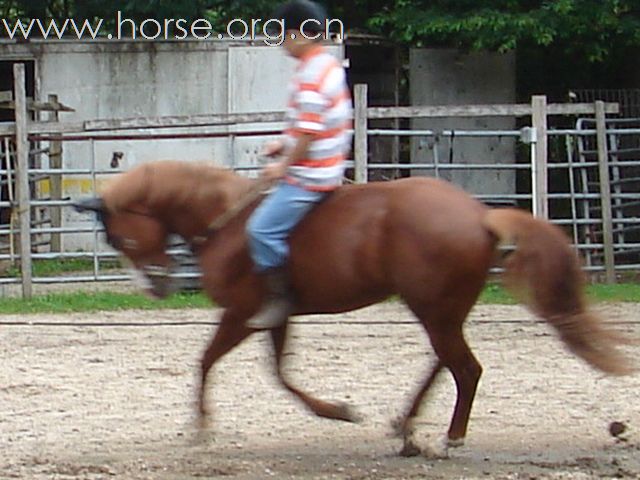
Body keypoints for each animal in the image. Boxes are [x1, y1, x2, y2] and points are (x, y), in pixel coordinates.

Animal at [74, 160, 632, 454]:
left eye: (119, 235)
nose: (155, 288)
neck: (228, 223)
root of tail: (479, 215)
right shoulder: (276, 316)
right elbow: (280, 373)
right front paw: (337, 411)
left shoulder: (240, 314)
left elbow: (208, 361)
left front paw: (202, 426)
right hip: (438, 309)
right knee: (447, 362)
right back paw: (406, 426)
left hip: (435, 309)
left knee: (465, 368)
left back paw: (447, 437)